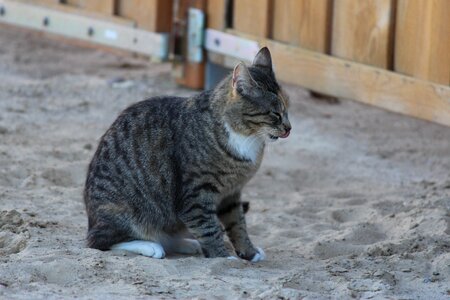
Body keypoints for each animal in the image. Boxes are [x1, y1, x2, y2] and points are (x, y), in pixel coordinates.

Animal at [83, 48, 292, 262]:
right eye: (275, 113)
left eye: (287, 110)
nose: (288, 128)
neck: (245, 136)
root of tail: (92, 220)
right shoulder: (196, 194)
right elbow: (209, 228)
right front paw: (223, 257)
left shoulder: (231, 194)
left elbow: (238, 224)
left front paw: (249, 252)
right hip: (124, 210)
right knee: (99, 241)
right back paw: (150, 246)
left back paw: (187, 244)